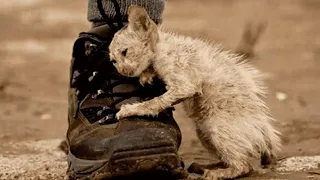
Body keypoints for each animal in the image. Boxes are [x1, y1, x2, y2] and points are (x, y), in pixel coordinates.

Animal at [109, 5, 282, 180]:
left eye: (125, 52)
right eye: (113, 61)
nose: (122, 71)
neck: (162, 47)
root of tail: (265, 133)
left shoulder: (184, 84)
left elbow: (155, 102)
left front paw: (130, 109)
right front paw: (146, 75)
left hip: (218, 128)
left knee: (244, 166)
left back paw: (216, 173)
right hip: (204, 134)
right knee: (233, 159)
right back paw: (204, 166)